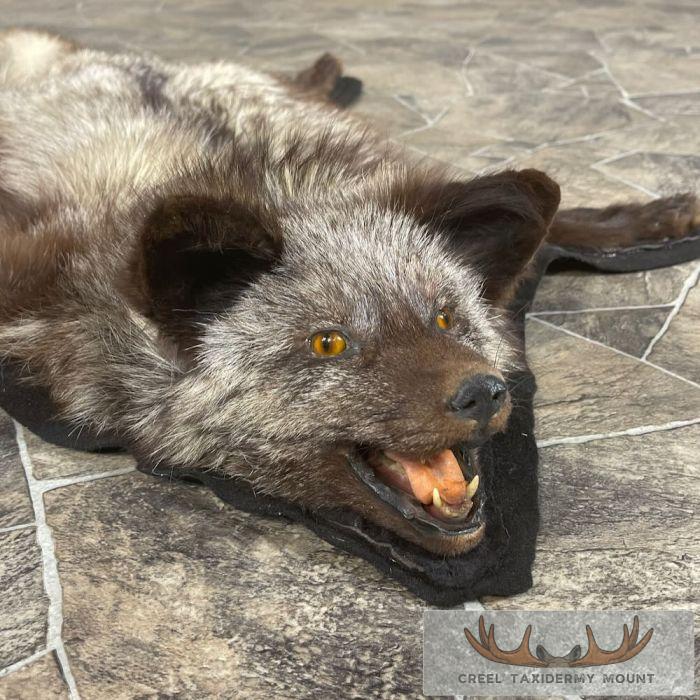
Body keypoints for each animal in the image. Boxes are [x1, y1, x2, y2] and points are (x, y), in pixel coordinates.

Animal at [0, 29, 697, 555]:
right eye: (329, 343)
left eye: (446, 319)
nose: (484, 392)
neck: (265, 183)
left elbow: (561, 222)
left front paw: (647, 219)